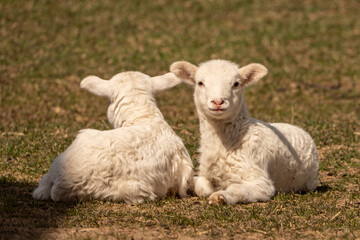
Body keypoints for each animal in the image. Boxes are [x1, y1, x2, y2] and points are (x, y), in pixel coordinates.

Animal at [171, 59, 318, 204]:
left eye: (236, 84)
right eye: (200, 83)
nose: (218, 102)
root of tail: (302, 131)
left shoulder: (261, 182)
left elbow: (236, 188)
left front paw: (220, 197)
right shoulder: (206, 172)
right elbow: (202, 185)